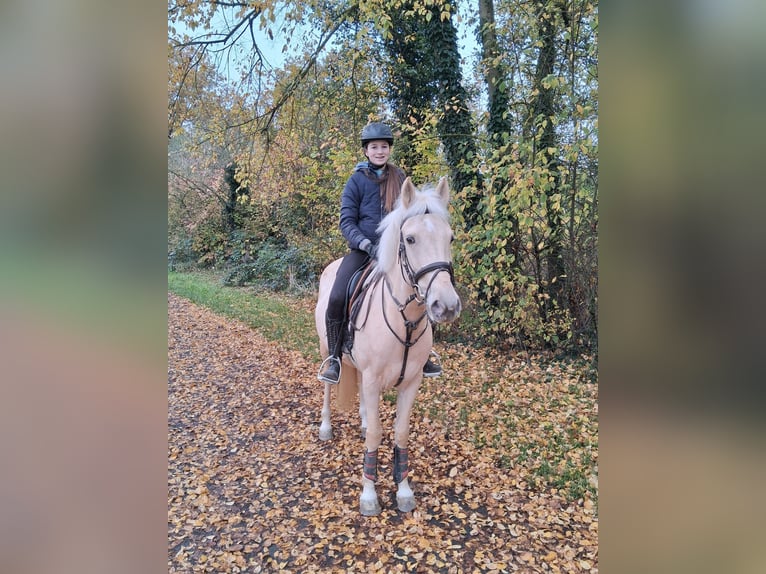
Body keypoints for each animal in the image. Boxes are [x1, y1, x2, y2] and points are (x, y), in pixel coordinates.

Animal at [314, 176, 462, 516]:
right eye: (409, 238)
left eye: (450, 237)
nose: (446, 306)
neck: (404, 319)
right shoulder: (371, 379)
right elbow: (377, 435)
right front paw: (369, 495)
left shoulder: (411, 383)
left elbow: (399, 431)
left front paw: (404, 491)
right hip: (326, 350)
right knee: (328, 386)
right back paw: (326, 426)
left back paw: (362, 420)